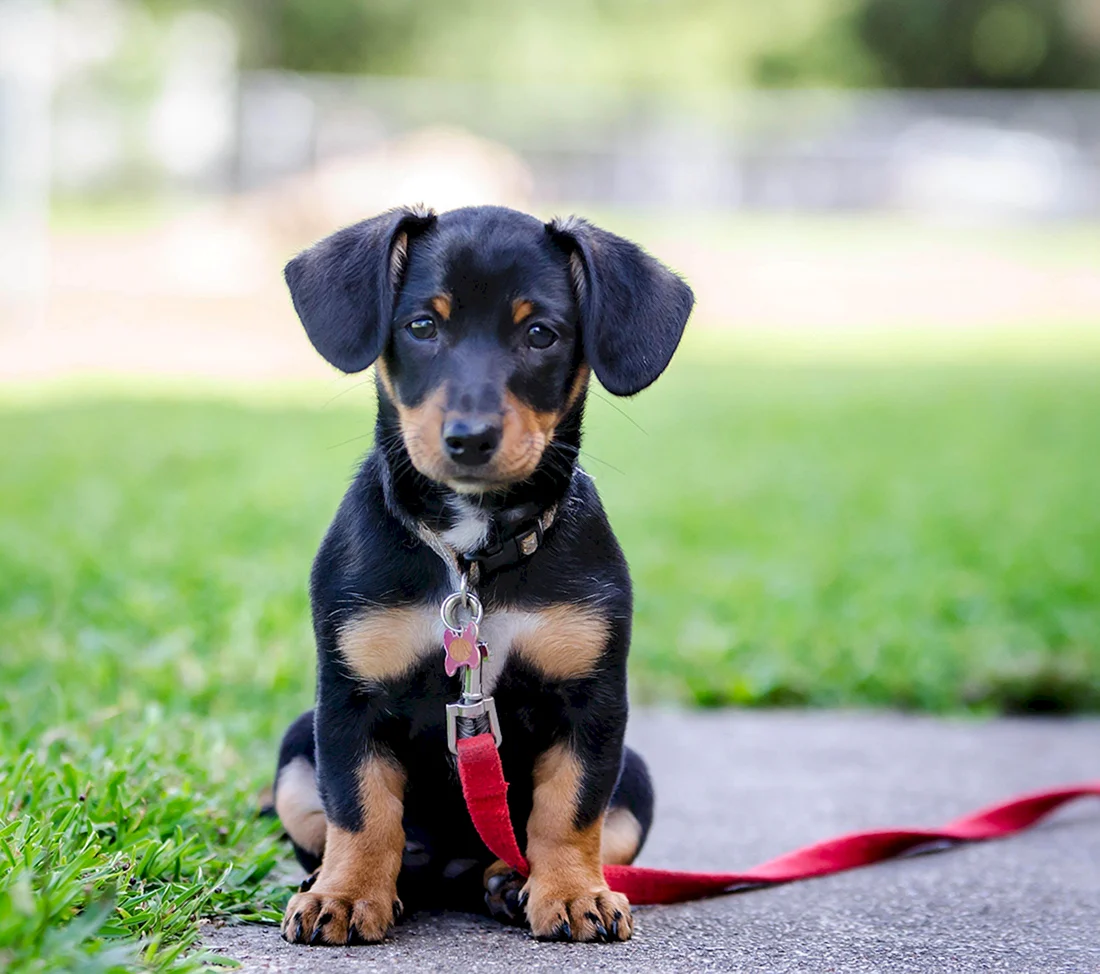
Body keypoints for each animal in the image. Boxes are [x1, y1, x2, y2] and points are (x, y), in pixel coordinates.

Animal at [270, 204, 690, 942]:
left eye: (540, 334)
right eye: (421, 326)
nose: (469, 438)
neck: (470, 553)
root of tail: (452, 868)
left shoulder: (591, 703)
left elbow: (569, 811)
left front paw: (573, 893)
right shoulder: (349, 700)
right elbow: (361, 810)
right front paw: (344, 896)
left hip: (636, 773)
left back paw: (507, 879)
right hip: (296, 745)